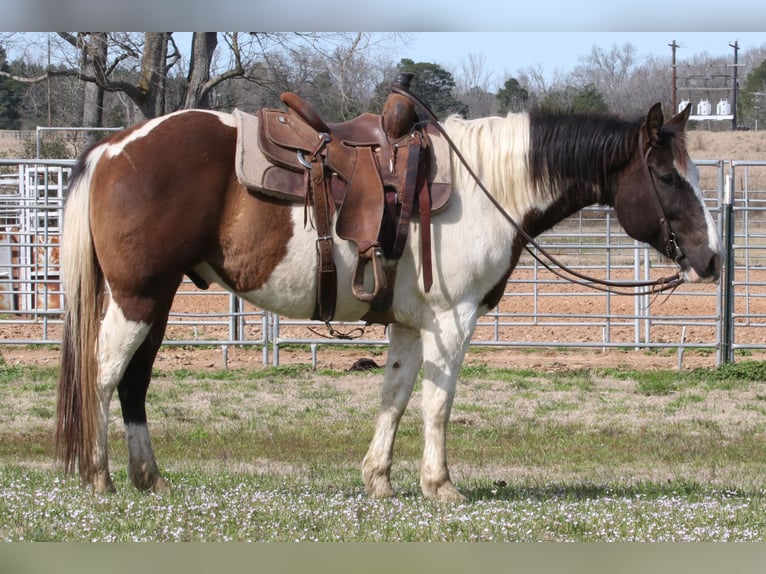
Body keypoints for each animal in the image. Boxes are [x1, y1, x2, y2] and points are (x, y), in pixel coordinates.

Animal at [58, 102, 720, 504]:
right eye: (667, 177)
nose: (711, 259)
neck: (487, 187)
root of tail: (113, 147)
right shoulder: (452, 320)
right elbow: (437, 404)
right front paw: (441, 485)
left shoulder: (409, 323)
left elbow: (395, 397)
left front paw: (378, 478)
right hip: (138, 297)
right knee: (102, 375)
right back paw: (99, 477)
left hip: (158, 299)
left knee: (133, 383)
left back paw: (148, 477)